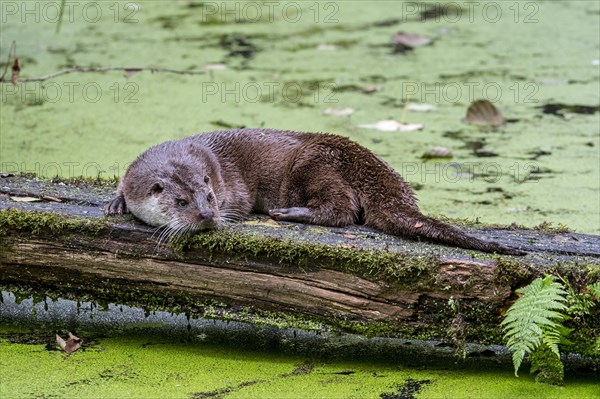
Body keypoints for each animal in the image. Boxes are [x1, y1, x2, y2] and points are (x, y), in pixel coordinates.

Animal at [106, 131, 524, 256]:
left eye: (208, 199)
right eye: (181, 202)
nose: (207, 217)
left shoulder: (231, 186)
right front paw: (116, 201)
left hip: (313, 162)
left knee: (343, 210)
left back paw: (289, 213)